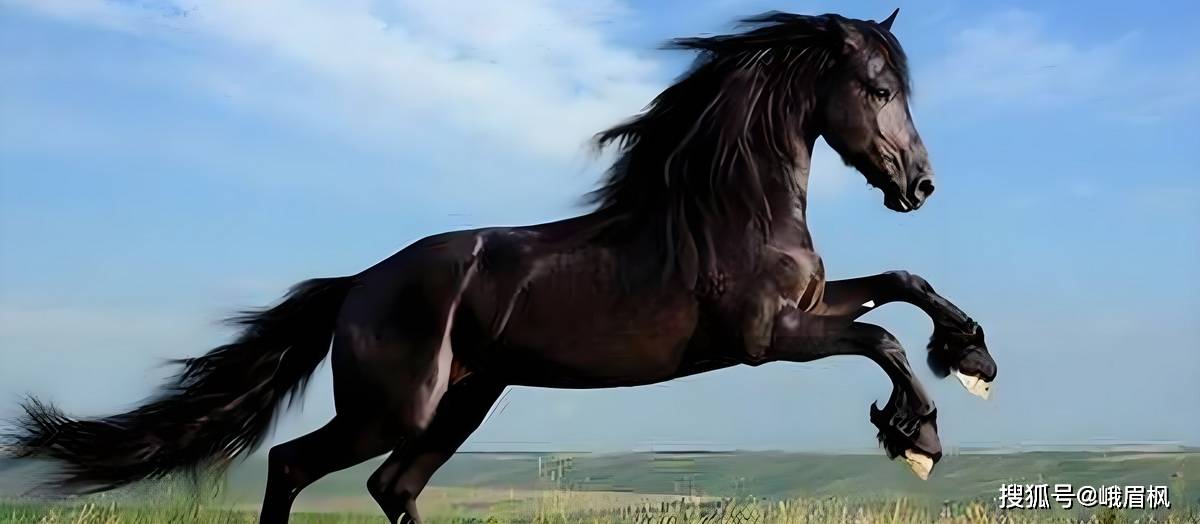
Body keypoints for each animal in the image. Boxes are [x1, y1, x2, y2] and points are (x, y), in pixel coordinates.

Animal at [6, 9, 997, 524]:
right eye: (878, 89)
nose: (919, 184)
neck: (731, 211)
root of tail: (354, 287)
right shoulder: (768, 337)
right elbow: (880, 338)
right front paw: (918, 435)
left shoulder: (807, 304)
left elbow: (901, 286)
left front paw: (973, 358)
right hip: (392, 408)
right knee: (292, 465)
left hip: (464, 401)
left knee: (391, 485)